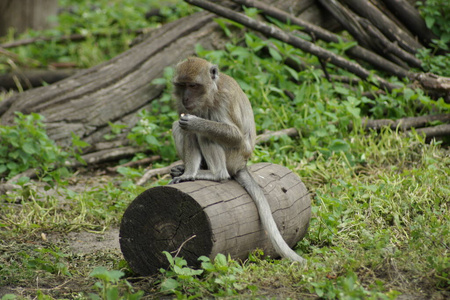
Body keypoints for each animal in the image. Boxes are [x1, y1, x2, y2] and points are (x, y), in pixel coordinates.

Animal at [169, 57, 306, 264]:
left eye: (193, 86)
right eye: (182, 85)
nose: (185, 98)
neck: (210, 95)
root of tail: (242, 164)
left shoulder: (223, 100)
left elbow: (234, 135)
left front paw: (195, 123)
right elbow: (183, 125)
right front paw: (187, 173)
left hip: (233, 157)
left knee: (205, 135)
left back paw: (215, 174)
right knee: (178, 126)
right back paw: (190, 169)